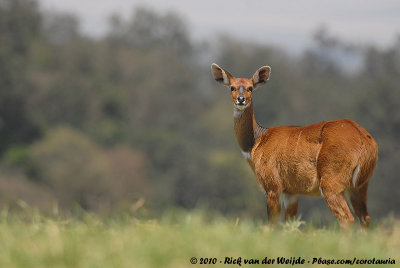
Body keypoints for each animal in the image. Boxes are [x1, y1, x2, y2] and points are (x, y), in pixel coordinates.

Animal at [211, 63, 376, 228]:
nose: (241, 99)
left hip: (332, 183)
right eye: (232, 87)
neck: (256, 141)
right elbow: (289, 225)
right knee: (365, 218)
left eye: (250, 88)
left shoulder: (273, 186)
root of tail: (366, 140)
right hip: (359, 186)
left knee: (348, 219)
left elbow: (271, 225)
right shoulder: (291, 192)